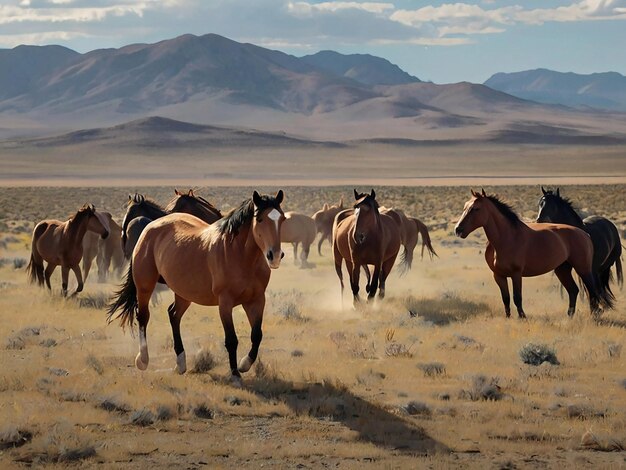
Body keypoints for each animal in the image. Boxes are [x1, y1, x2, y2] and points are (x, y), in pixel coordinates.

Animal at [454, 189, 608, 318]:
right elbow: (506, 299)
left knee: (592, 291)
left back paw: (595, 315)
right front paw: (508, 318)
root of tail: (584, 234)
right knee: (573, 290)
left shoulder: (516, 274)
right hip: (562, 269)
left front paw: (522, 317)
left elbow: (517, 298)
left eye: (476, 209)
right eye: (464, 207)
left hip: (583, 269)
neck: (506, 238)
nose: (458, 229)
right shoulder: (499, 275)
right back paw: (570, 316)